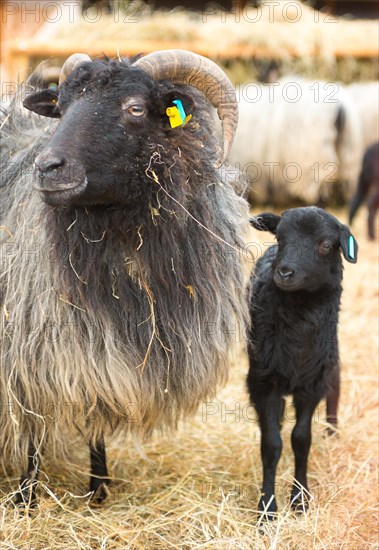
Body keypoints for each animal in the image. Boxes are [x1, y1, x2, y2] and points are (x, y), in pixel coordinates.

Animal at [0, 49, 251, 506]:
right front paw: (27, 496)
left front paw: (99, 487)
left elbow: (99, 407)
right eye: (61, 107)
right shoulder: (28, 340)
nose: (47, 168)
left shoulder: (103, 342)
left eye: (134, 108)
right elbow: (32, 422)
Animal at [248, 207, 358, 520]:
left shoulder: (312, 383)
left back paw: (332, 431)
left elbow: (301, 440)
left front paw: (299, 500)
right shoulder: (263, 381)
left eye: (326, 244)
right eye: (280, 236)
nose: (285, 272)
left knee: (335, 388)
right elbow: (271, 444)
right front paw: (267, 508)